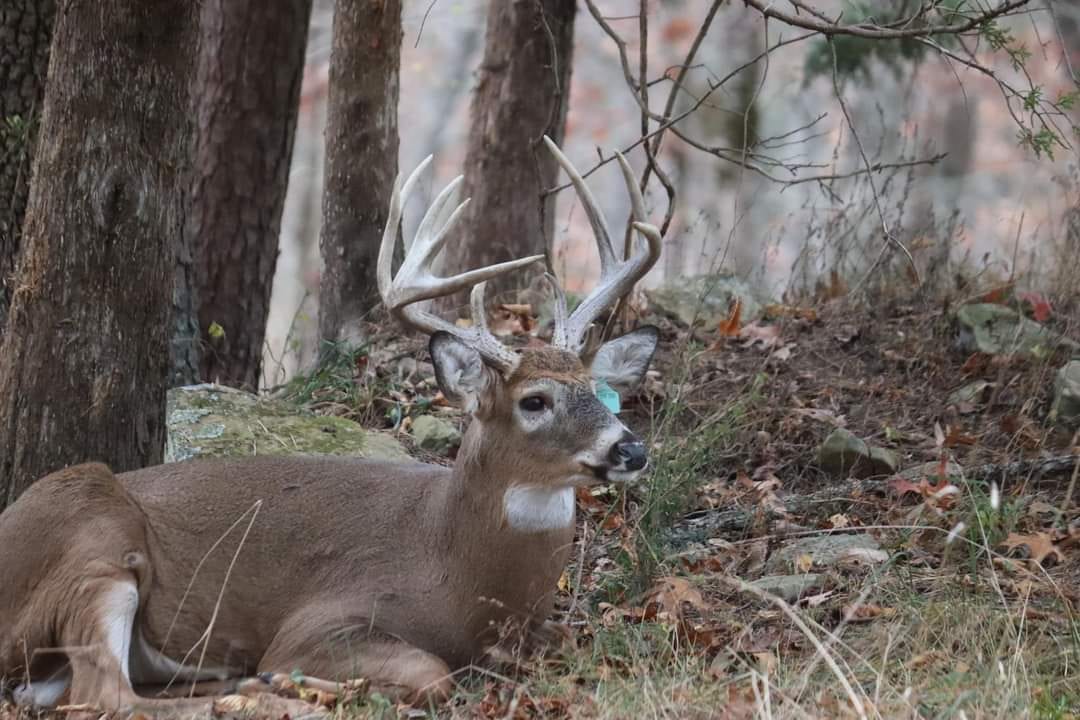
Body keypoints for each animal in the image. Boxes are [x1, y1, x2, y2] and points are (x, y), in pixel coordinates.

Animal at [0, 137, 661, 716]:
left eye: (598, 391)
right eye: (534, 401)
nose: (630, 450)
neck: (453, 570)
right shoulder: (320, 619)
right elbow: (431, 671)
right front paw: (305, 681)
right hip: (93, 536)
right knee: (105, 695)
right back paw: (267, 691)